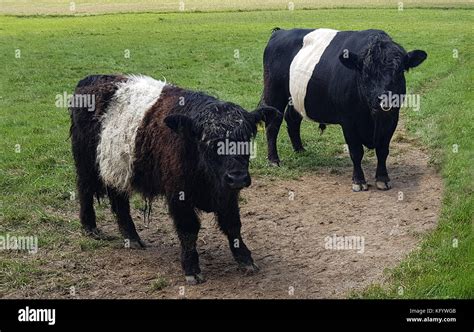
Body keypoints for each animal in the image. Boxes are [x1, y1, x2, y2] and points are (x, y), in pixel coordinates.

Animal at [262, 28, 428, 191]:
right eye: (365, 72)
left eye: (399, 71)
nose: (385, 99)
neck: (371, 119)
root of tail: (280, 32)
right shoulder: (348, 122)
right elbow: (356, 152)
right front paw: (359, 181)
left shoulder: (392, 118)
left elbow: (382, 150)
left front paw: (383, 179)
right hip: (274, 93)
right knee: (273, 125)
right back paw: (274, 160)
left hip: (295, 97)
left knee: (292, 119)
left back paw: (300, 150)